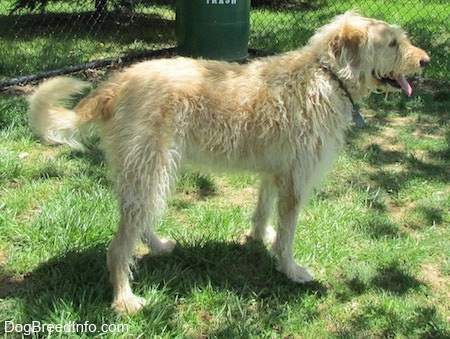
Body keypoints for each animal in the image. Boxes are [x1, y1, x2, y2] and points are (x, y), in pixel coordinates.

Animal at [27, 11, 428, 314]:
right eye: (391, 42)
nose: (426, 60)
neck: (326, 75)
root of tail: (117, 82)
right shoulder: (296, 182)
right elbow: (288, 234)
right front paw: (290, 269)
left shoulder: (276, 172)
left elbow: (263, 211)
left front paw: (257, 239)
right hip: (149, 169)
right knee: (118, 246)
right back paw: (124, 299)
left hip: (149, 171)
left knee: (139, 221)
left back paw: (157, 246)